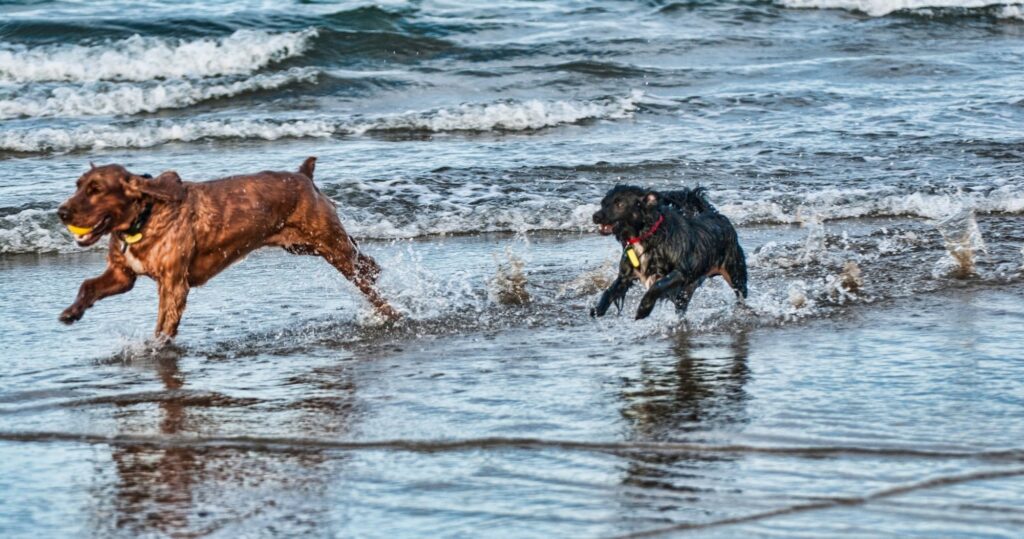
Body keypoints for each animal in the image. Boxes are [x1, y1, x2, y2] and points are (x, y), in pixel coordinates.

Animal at [55, 158, 399, 340]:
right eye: (77, 185)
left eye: (96, 189)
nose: (61, 212)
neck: (144, 218)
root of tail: (304, 175)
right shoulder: (122, 274)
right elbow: (88, 286)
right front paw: (72, 312)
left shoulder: (173, 284)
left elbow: (165, 321)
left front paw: (156, 346)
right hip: (302, 245)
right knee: (362, 256)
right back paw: (376, 270)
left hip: (329, 244)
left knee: (361, 276)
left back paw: (390, 310)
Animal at [589, 186, 749, 321]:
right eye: (603, 203)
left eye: (620, 204)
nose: (595, 216)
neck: (646, 236)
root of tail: (716, 216)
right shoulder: (625, 276)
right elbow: (609, 291)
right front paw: (598, 309)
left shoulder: (680, 272)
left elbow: (657, 286)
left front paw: (643, 309)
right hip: (686, 292)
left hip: (735, 273)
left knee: (741, 292)